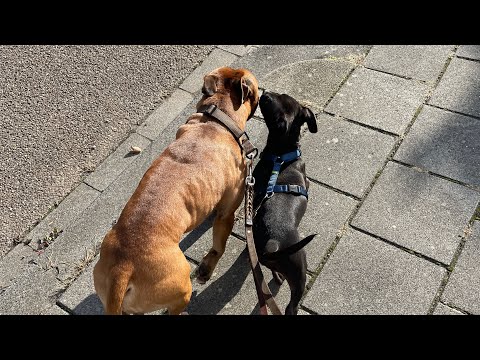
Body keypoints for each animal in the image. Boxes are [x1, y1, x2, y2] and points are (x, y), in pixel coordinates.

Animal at [93, 67, 258, 316]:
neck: (217, 118)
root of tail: (123, 267)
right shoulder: (227, 212)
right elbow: (218, 245)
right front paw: (207, 268)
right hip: (180, 289)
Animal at [253, 90, 316, 316]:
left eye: (280, 95)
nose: (265, 93)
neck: (280, 155)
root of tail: (274, 244)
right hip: (299, 272)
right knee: (291, 306)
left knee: (272, 271)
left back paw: (278, 278)